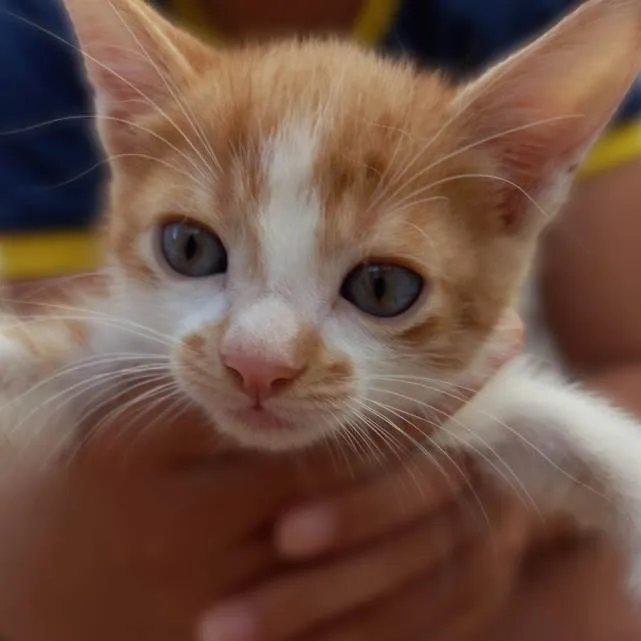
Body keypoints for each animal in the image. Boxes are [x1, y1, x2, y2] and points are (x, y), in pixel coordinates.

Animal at [3, 0, 640, 588]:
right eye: (189, 248)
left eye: (383, 287)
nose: (258, 365)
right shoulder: (119, 338)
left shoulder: (446, 402)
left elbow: (547, 418)